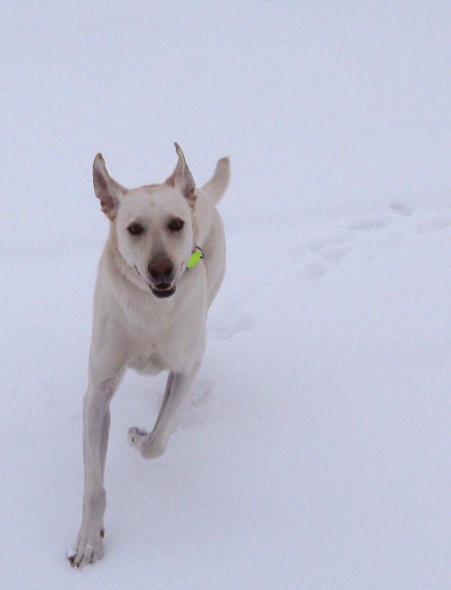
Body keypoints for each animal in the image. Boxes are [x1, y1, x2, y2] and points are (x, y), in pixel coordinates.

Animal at [69, 143, 231, 568]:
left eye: (176, 224)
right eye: (134, 228)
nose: (161, 269)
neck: (149, 309)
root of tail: (199, 192)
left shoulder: (187, 367)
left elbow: (157, 442)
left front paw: (140, 436)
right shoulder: (98, 389)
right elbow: (93, 482)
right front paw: (89, 540)